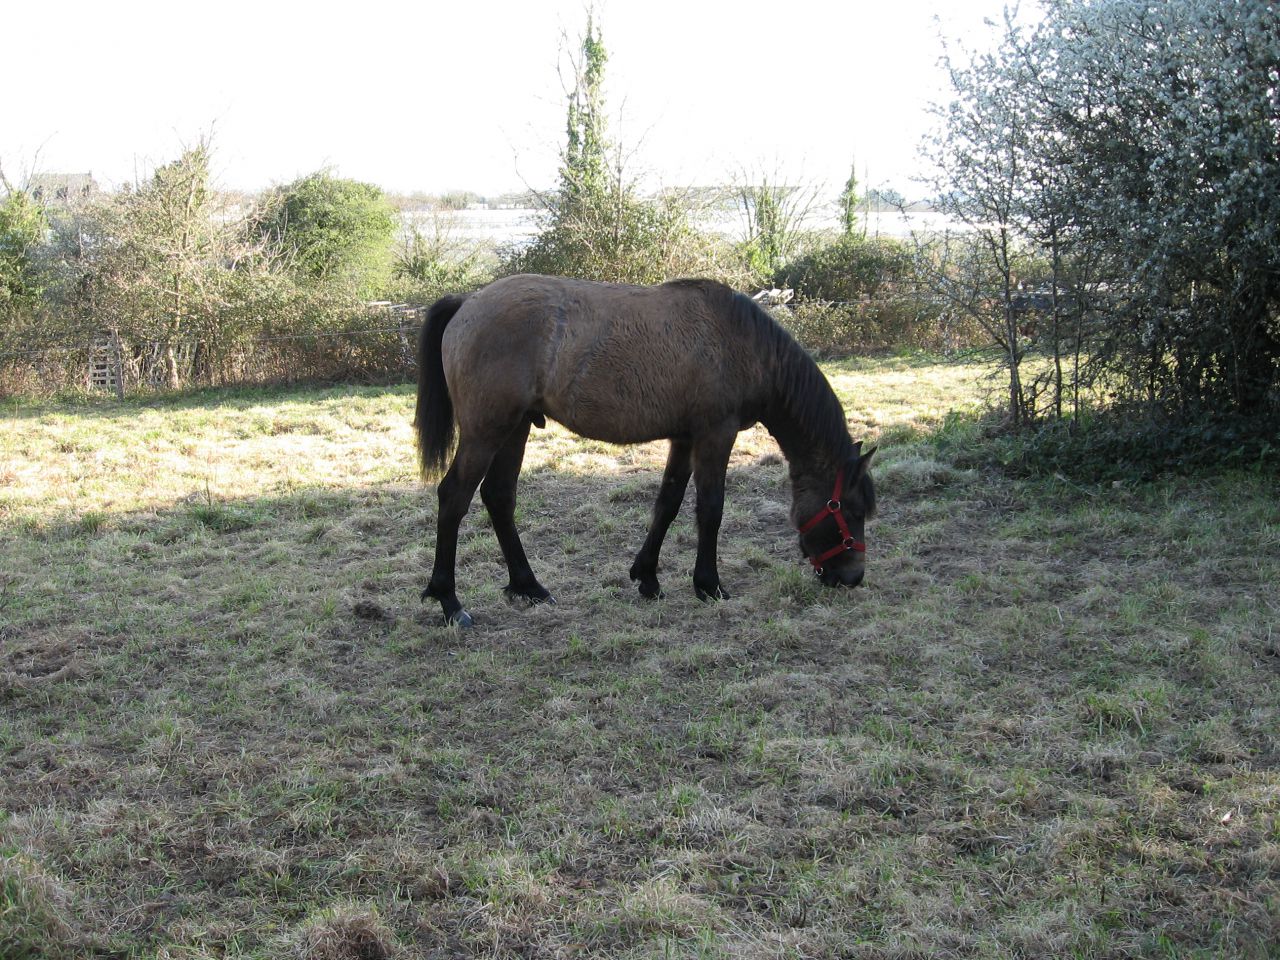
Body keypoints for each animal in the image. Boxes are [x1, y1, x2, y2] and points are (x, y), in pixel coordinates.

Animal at [415, 274, 876, 627]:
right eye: (850, 510)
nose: (853, 577)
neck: (742, 342)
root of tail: (468, 301)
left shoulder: (685, 438)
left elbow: (667, 504)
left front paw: (647, 578)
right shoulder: (715, 435)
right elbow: (710, 510)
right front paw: (709, 584)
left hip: (515, 428)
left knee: (499, 497)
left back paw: (528, 586)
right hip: (486, 432)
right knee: (454, 497)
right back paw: (449, 601)